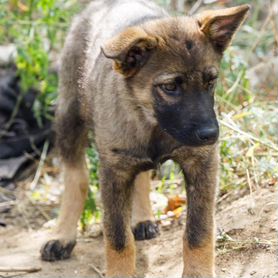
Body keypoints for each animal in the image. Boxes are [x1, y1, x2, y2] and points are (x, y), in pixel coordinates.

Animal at [40, 1, 250, 276]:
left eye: (211, 81)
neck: (152, 122)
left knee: (140, 173)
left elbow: (199, 231)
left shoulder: (202, 162)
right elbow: (118, 240)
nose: (211, 135)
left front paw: (198, 272)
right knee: (77, 178)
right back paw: (62, 235)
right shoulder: (114, 172)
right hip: (69, 115)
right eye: (170, 87)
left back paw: (142, 218)